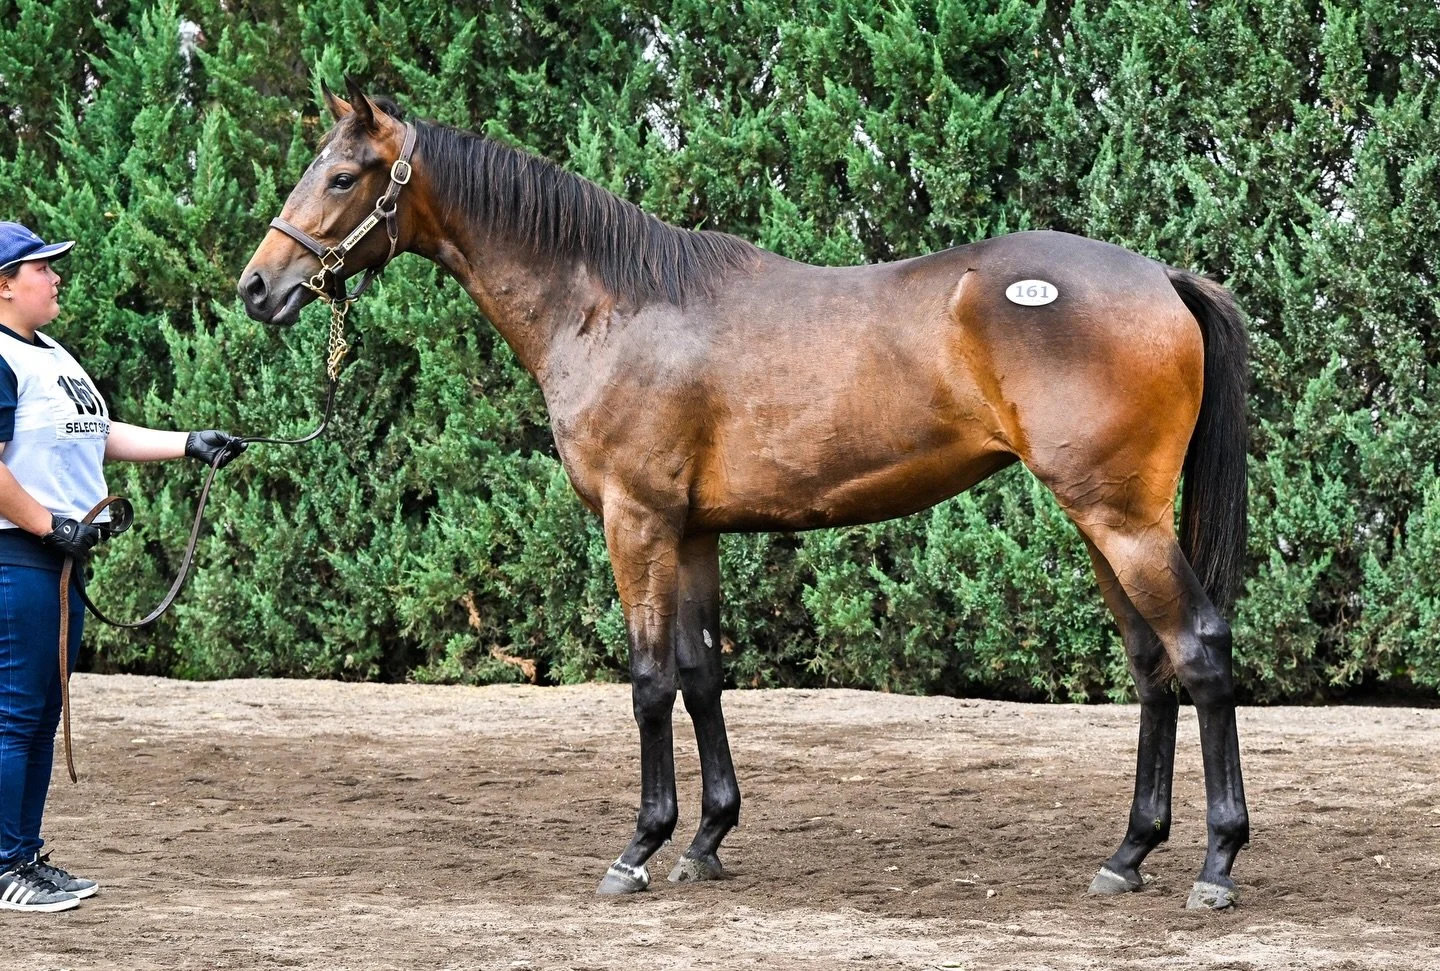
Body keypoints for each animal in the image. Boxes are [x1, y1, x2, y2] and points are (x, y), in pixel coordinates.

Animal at [238, 79, 1251, 910]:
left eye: (342, 177)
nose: (257, 287)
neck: (611, 305)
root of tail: (1161, 277)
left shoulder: (636, 521)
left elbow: (649, 679)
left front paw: (638, 848)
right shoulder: (693, 532)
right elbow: (701, 673)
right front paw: (707, 838)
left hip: (1120, 520)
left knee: (1199, 649)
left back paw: (1215, 863)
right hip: (1103, 520)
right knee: (1151, 664)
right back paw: (1128, 854)